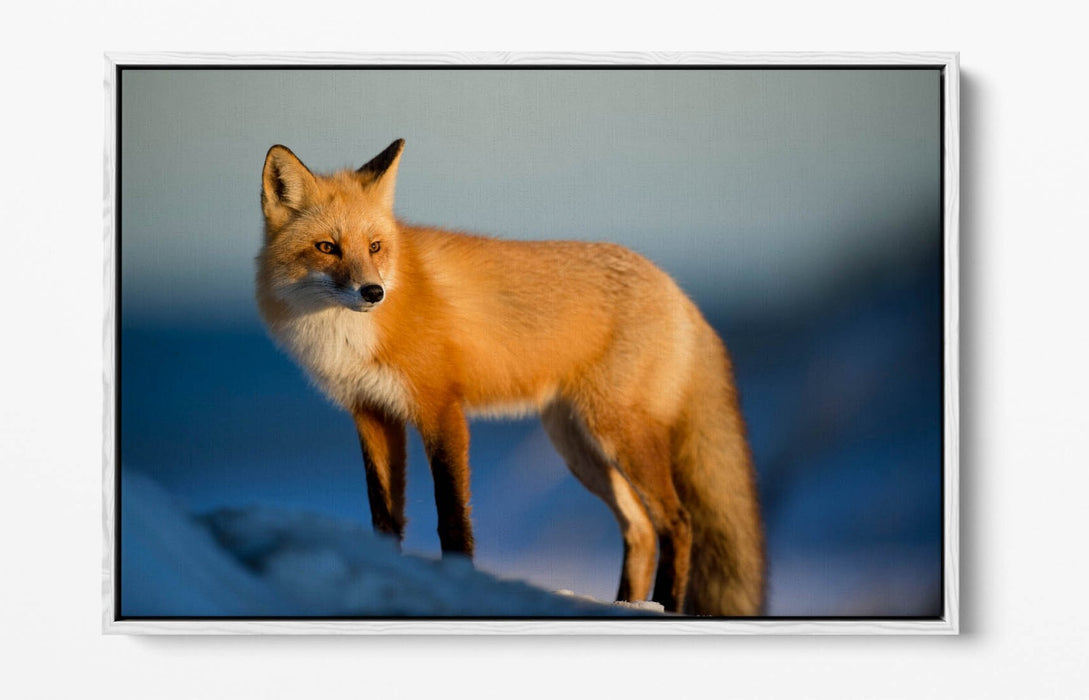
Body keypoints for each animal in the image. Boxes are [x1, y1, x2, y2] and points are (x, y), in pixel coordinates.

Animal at [256, 139, 765, 616]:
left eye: (375, 247)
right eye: (327, 247)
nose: (373, 292)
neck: (349, 336)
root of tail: (678, 291)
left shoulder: (441, 408)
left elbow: (452, 516)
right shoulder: (372, 413)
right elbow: (384, 517)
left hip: (618, 433)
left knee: (677, 522)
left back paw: (664, 605)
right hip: (578, 447)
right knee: (640, 528)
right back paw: (625, 605)